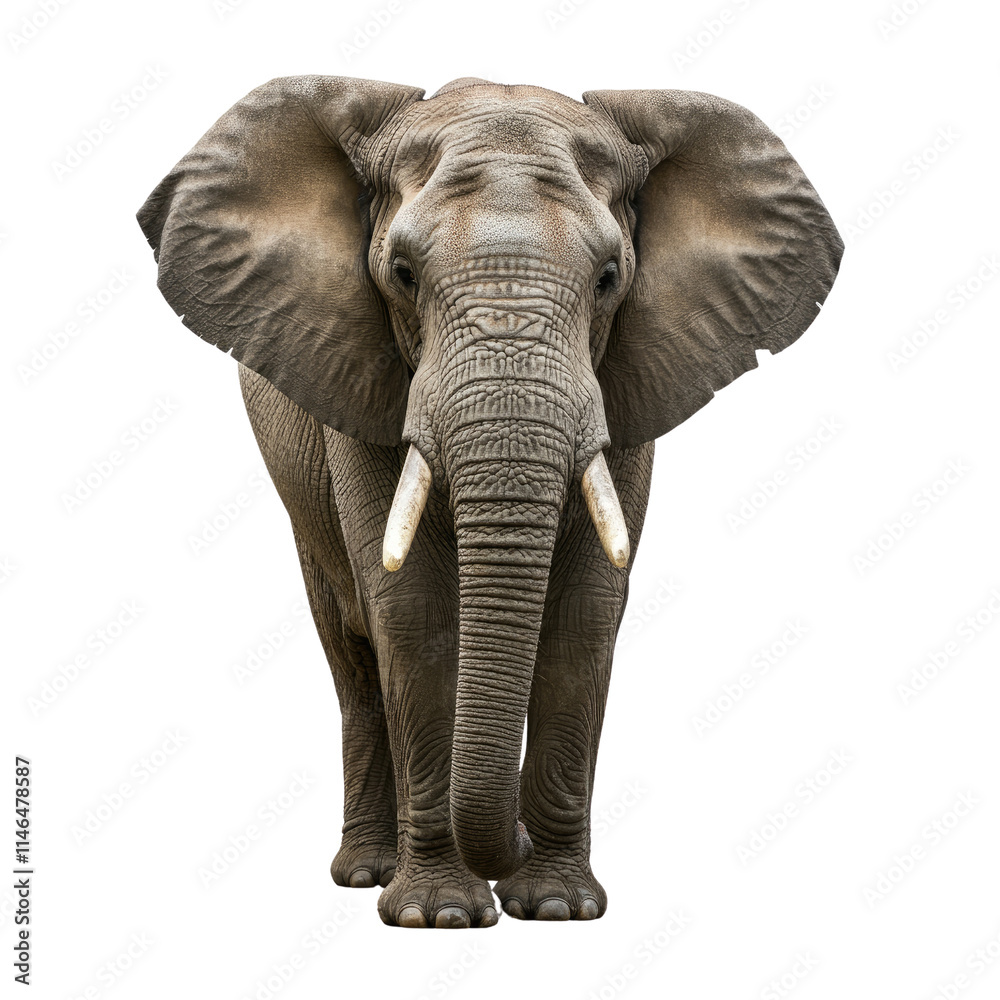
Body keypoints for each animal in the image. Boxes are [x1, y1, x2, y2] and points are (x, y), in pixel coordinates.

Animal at [137, 75, 842, 928]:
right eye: (403, 273)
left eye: (610, 278)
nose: (515, 840)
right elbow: (414, 615)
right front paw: (435, 915)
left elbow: (585, 616)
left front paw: (559, 906)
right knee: (351, 654)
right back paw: (368, 871)